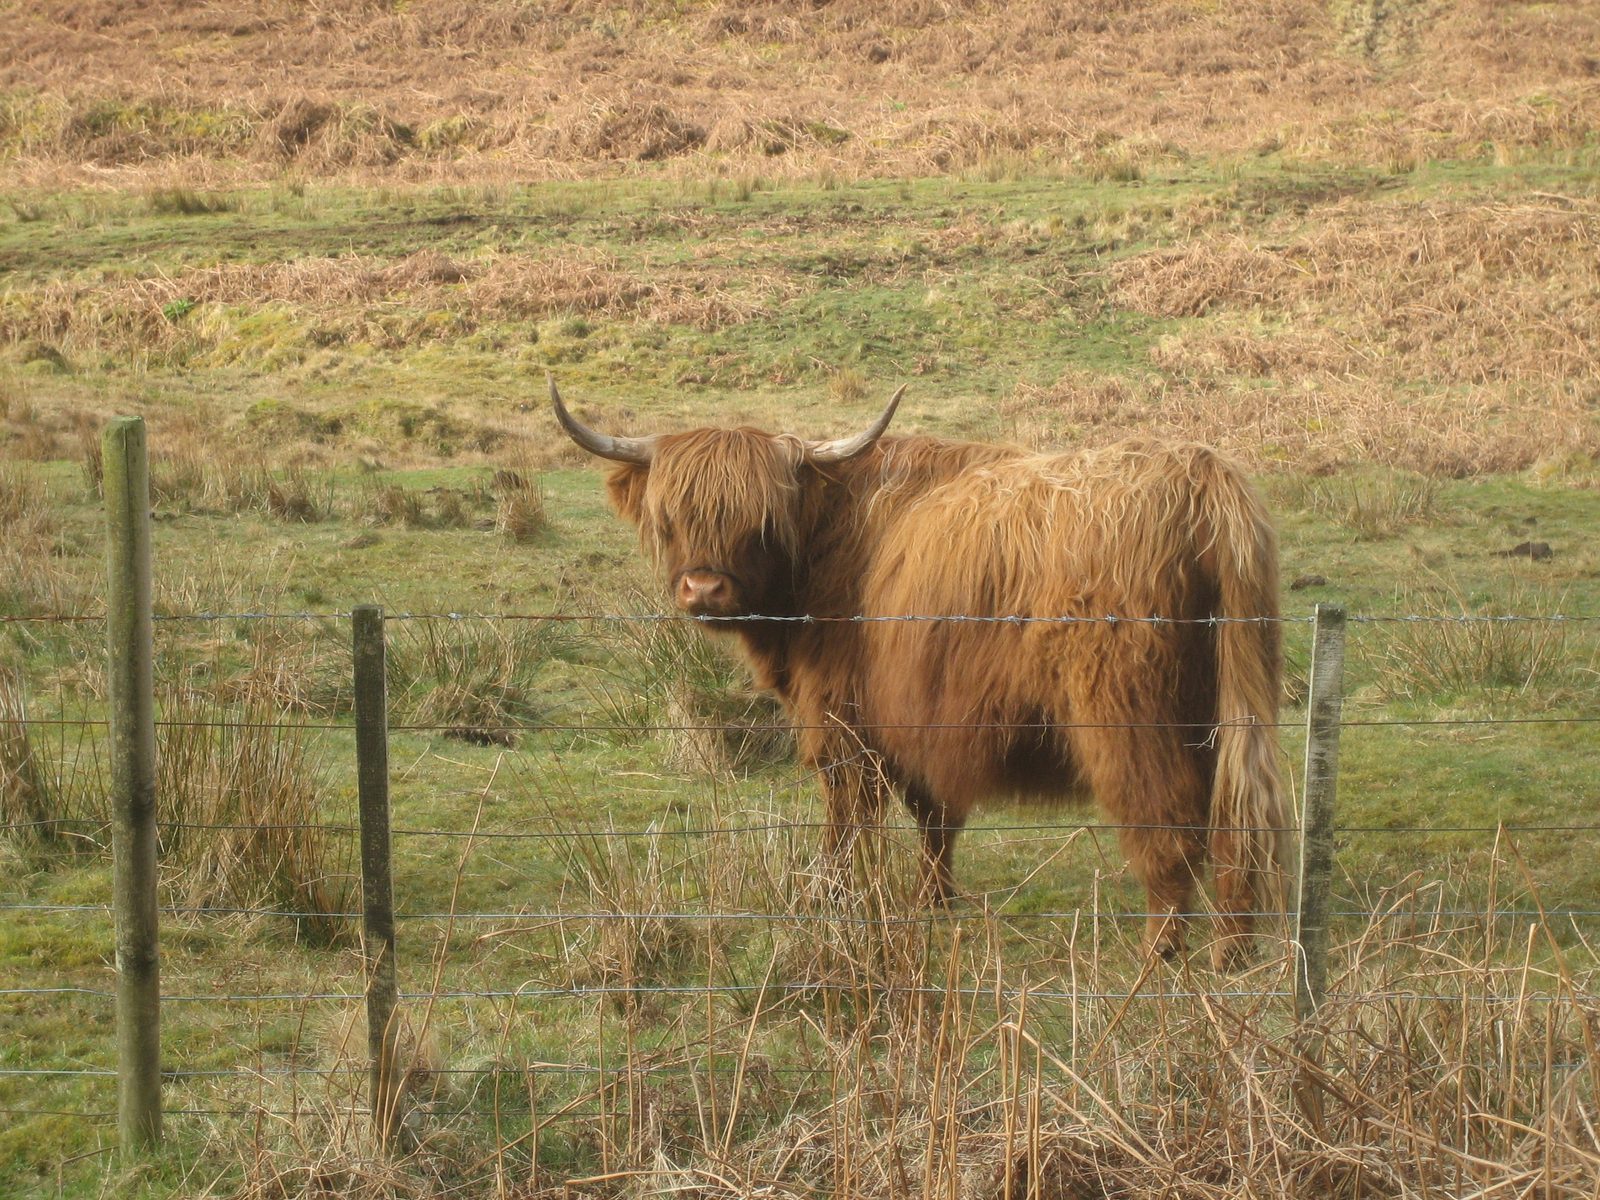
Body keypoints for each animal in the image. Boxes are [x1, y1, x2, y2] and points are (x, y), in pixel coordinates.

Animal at [552, 377, 1286, 966]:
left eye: (757, 520)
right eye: (670, 517)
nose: (703, 589)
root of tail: (1197, 472)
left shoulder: (842, 714)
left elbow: (849, 813)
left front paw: (835, 897)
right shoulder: (925, 715)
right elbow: (935, 814)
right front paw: (933, 900)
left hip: (1125, 712)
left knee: (1169, 819)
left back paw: (1164, 946)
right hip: (1233, 698)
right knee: (1238, 814)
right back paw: (1234, 944)